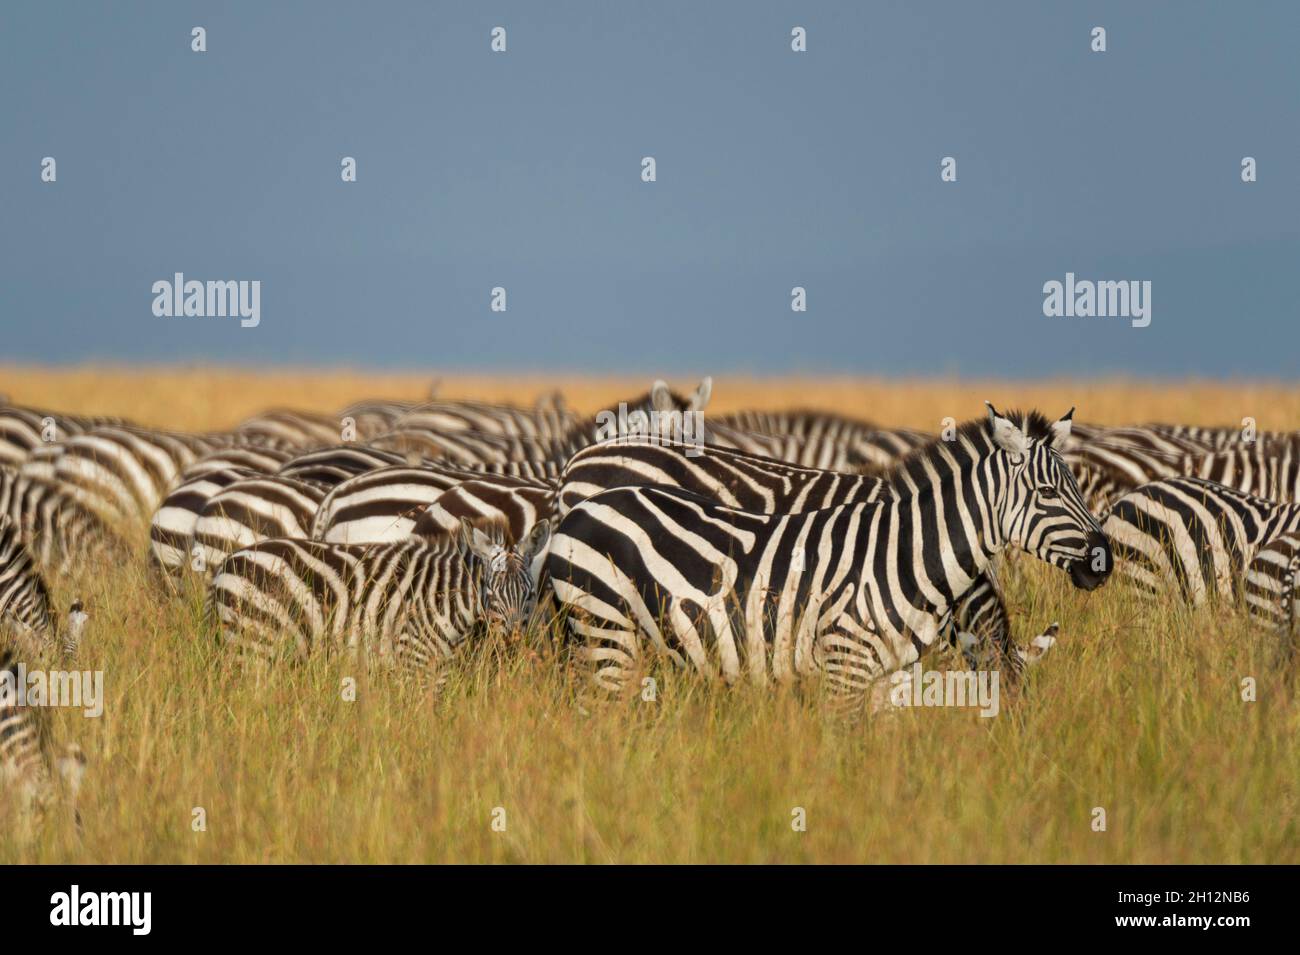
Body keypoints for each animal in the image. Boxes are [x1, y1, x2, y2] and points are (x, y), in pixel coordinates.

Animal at [207, 519, 552, 680]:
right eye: (491, 592)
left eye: (530, 594)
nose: (514, 639)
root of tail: (228, 562)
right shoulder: (414, 661)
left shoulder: (440, 668)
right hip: (256, 645)